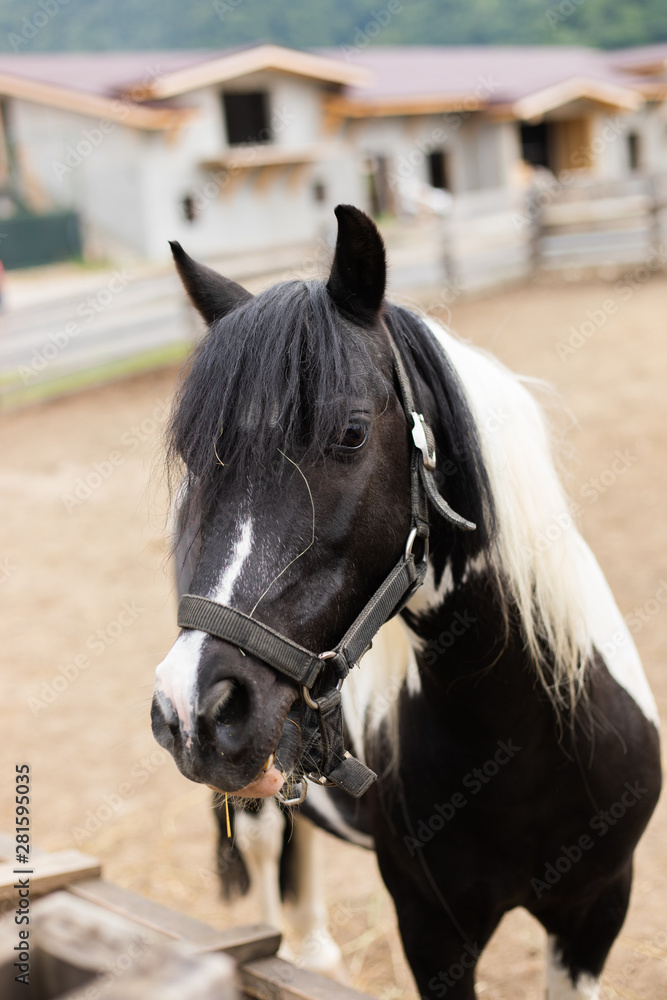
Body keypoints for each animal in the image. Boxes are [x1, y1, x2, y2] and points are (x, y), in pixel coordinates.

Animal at [152, 204, 661, 999]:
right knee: (266, 844)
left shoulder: (595, 913)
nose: (189, 707)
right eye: (198, 457)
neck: (527, 734)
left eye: (351, 433)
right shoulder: (432, 933)